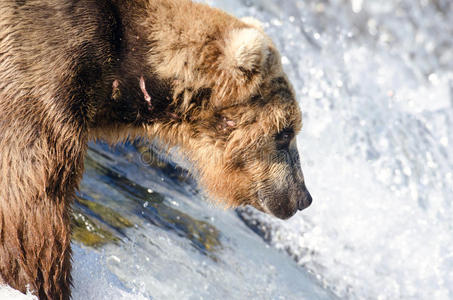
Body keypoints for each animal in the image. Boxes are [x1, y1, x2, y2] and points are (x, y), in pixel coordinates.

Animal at [0, 0, 310, 298]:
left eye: (293, 130)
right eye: (286, 132)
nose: (303, 197)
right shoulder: (43, 65)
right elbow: (33, 196)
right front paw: (39, 281)